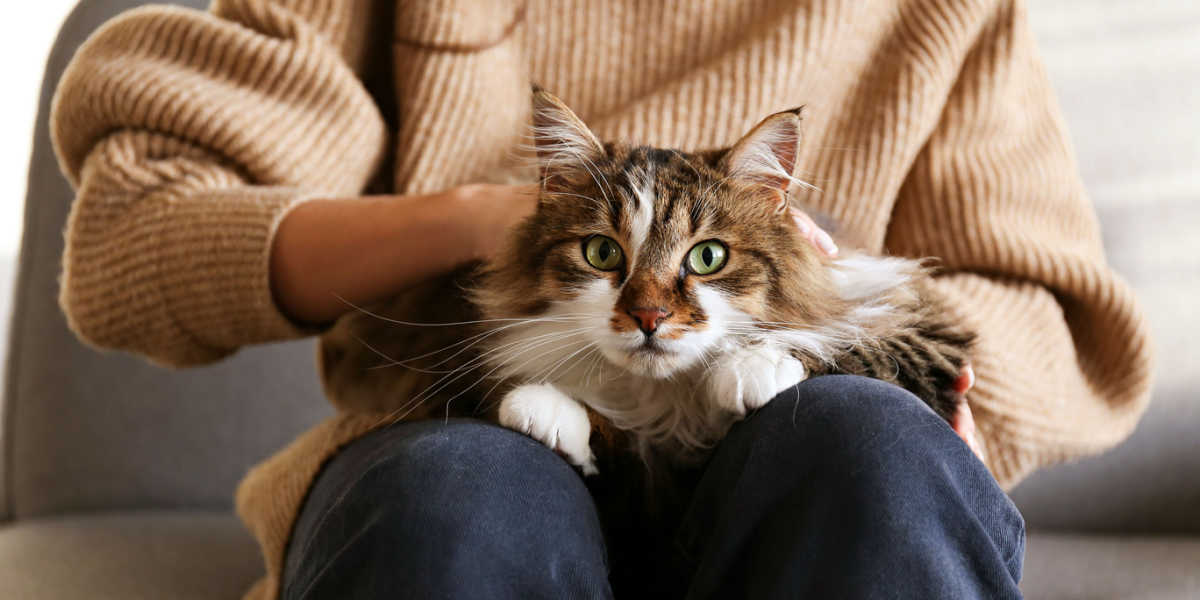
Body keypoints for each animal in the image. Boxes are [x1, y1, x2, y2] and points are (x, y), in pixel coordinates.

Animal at [321, 87, 974, 477]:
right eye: (602, 253)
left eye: (707, 257)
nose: (649, 318)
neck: (671, 404)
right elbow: (600, 427)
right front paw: (545, 408)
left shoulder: (925, 326)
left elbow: (841, 341)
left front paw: (747, 370)